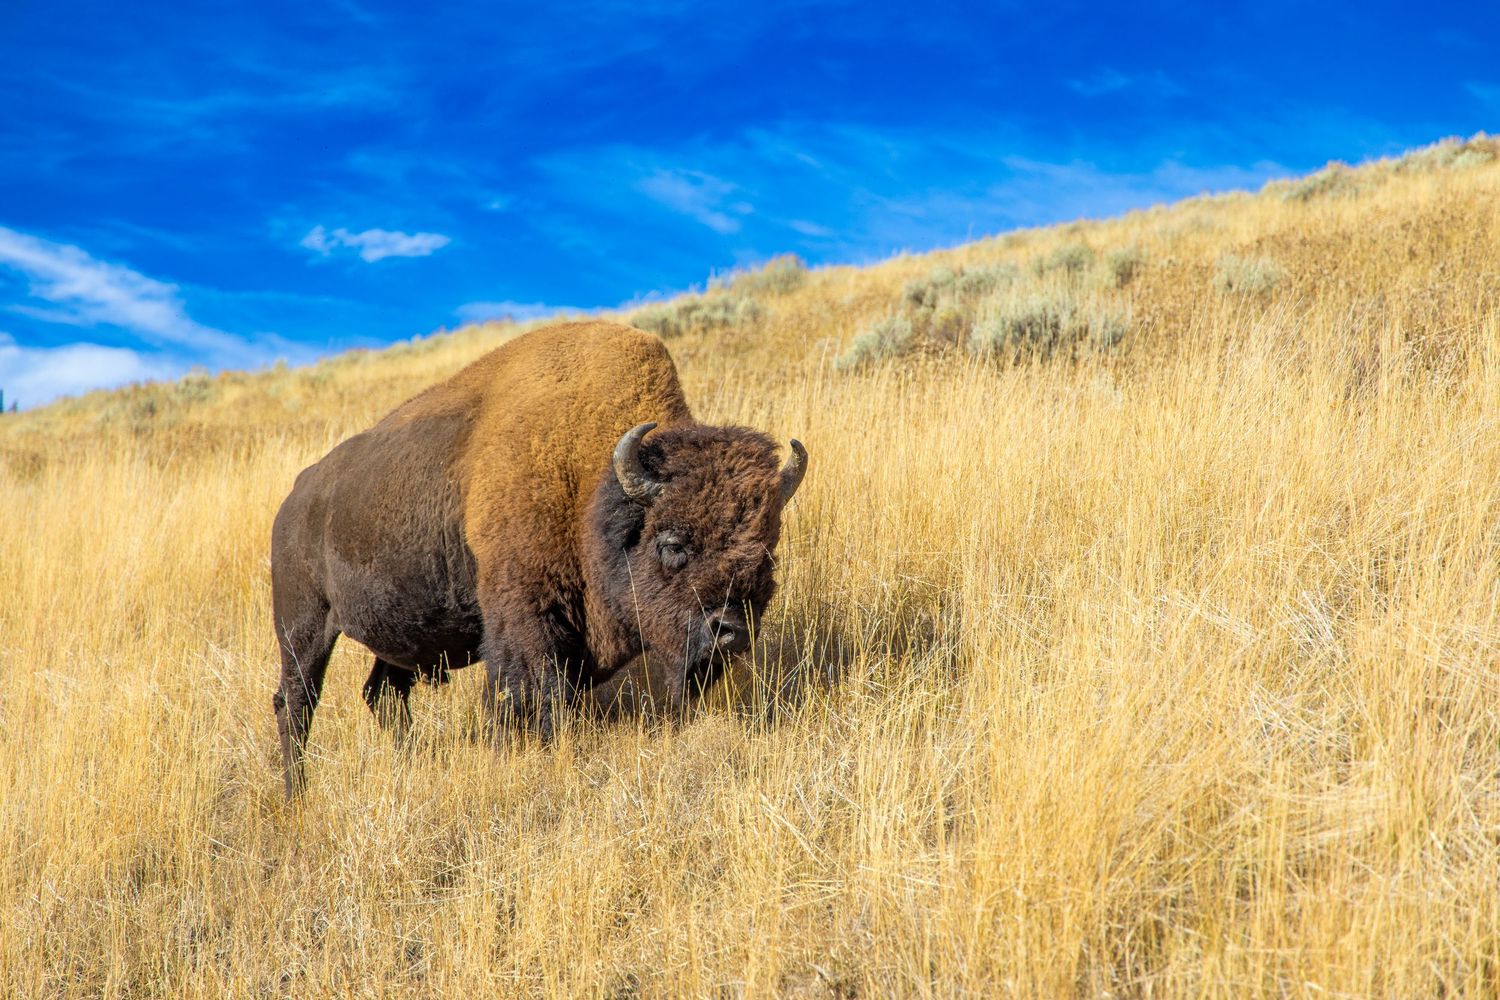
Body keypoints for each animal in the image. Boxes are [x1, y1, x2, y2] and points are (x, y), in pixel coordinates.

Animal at [271, 321, 807, 796]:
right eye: (672, 543)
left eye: (767, 553)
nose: (731, 630)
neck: (590, 482)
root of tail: (294, 497)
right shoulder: (526, 620)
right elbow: (535, 696)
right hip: (303, 625)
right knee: (296, 703)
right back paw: (297, 794)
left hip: (400, 638)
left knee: (382, 694)